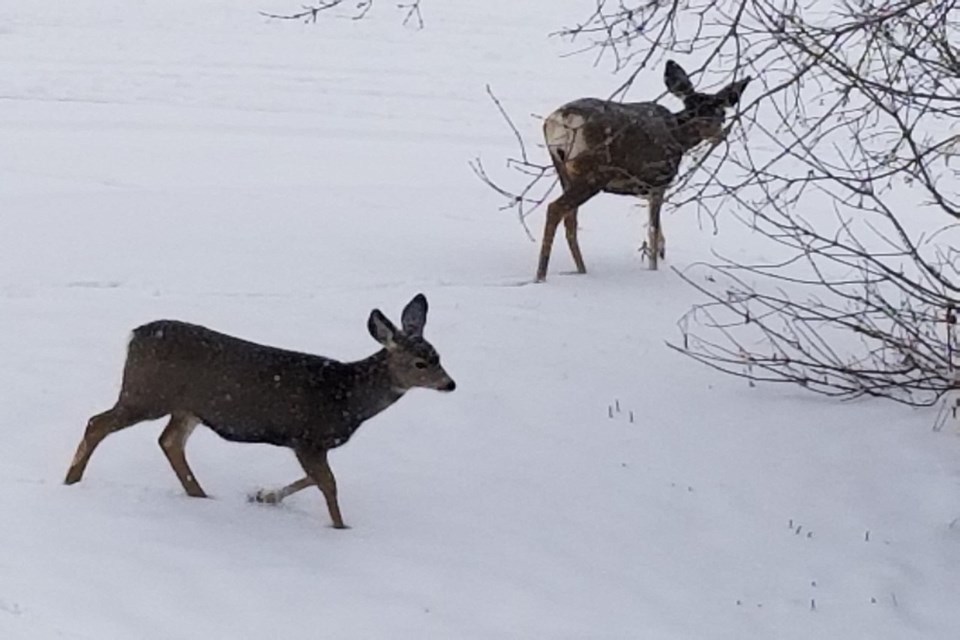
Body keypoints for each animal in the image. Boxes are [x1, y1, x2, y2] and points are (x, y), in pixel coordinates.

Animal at [62, 292, 454, 528]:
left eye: (438, 355)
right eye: (420, 363)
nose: (450, 384)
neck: (347, 397)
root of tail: (134, 335)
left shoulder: (305, 444)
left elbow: (315, 480)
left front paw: (263, 495)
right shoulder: (308, 437)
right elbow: (328, 484)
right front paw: (340, 527)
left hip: (186, 407)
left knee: (169, 441)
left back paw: (200, 496)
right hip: (147, 394)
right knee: (98, 422)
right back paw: (71, 481)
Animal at [536, 59, 752, 280]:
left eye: (722, 114)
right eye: (692, 111)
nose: (719, 135)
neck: (678, 137)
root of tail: (561, 119)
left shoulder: (647, 189)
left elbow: (657, 233)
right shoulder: (659, 180)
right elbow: (653, 230)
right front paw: (653, 269)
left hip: (564, 171)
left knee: (569, 217)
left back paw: (580, 270)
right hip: (595, 172)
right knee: (556, 208)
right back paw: (541, 275)